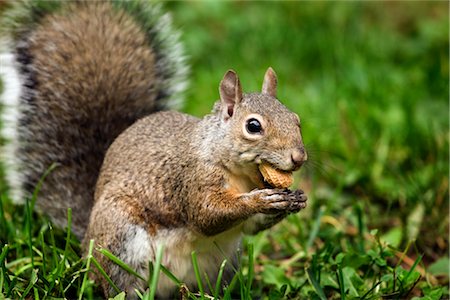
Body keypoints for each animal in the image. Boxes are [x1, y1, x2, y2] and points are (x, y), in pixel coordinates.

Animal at [0, 0, 308, 298]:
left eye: (296, 119)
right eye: (253, 126)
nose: (299, 157)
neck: (241, 174)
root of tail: (87, 237)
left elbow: (251, 226)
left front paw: (296, 199)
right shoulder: (192, 179)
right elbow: (207, 216)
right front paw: (260, 200)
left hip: (222, 263)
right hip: (121, 239)